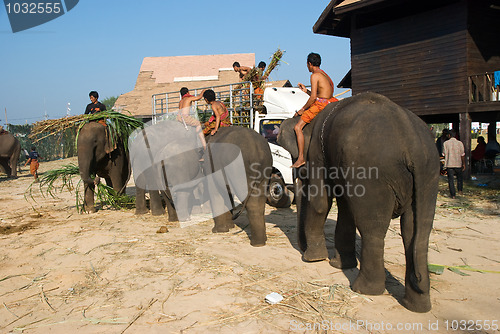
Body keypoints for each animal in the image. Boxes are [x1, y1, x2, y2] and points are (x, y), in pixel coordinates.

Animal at [280, 92, 440, 314]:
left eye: (295, 157)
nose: (302, 250)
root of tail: (413, 141)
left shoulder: (318, 154)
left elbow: (320, 202)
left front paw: (313, 259)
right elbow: (346, 208)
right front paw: (339, 265)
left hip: (372, 175)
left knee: (372, 227)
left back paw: (363, 289)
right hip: (429, 174)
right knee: (415, 232)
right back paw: (417, 306)